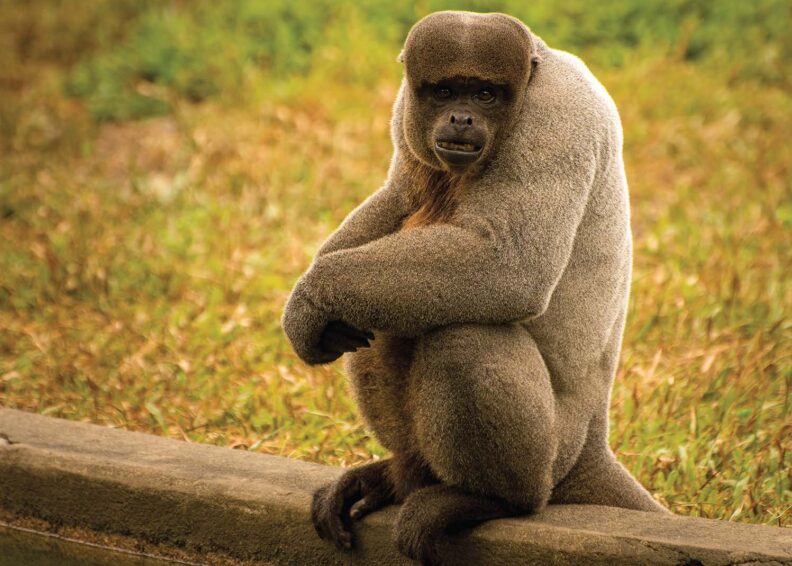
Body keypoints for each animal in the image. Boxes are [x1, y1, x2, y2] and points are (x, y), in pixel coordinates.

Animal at [282, 11, 668, 565]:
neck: (533, 68)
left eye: (485, 95)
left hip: (554, 449)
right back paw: (397, 479)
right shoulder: (406, 111)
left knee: (464, 336)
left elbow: (508, 264)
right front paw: (305, 301)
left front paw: (313, 295)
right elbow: (399, 193)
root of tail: (593, 442)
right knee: (371, 315)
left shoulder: (555, 122)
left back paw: (487, 499)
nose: (461, 119)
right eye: (444, 91)